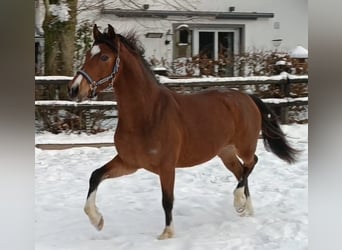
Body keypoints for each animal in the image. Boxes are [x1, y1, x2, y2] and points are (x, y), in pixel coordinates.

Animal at [67, 23, 296, 240]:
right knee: (241, 171)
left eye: (104, 57)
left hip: (244, 146)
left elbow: (167, 200)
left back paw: (239, 200)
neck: (148, 114)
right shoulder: (129, 163)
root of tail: (248, 98)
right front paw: (97, 220)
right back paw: (245, 209)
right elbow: (95, 175)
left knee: (252, 163)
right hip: (225, 153)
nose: (74, 89)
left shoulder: (166, 166)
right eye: (87, 54)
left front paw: (167, 233)